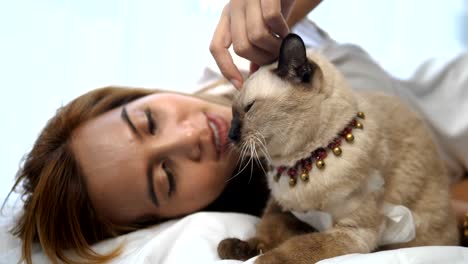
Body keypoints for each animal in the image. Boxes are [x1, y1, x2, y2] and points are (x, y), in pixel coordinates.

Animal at [218, 33, 458, 264]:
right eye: (233, 112)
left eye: (249, 108)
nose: (231, 135)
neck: (303, 163)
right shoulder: (283, 210)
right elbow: (267, 230)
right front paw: (239, 249)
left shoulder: (351, 232)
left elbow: (299, 246)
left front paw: (262, 259)